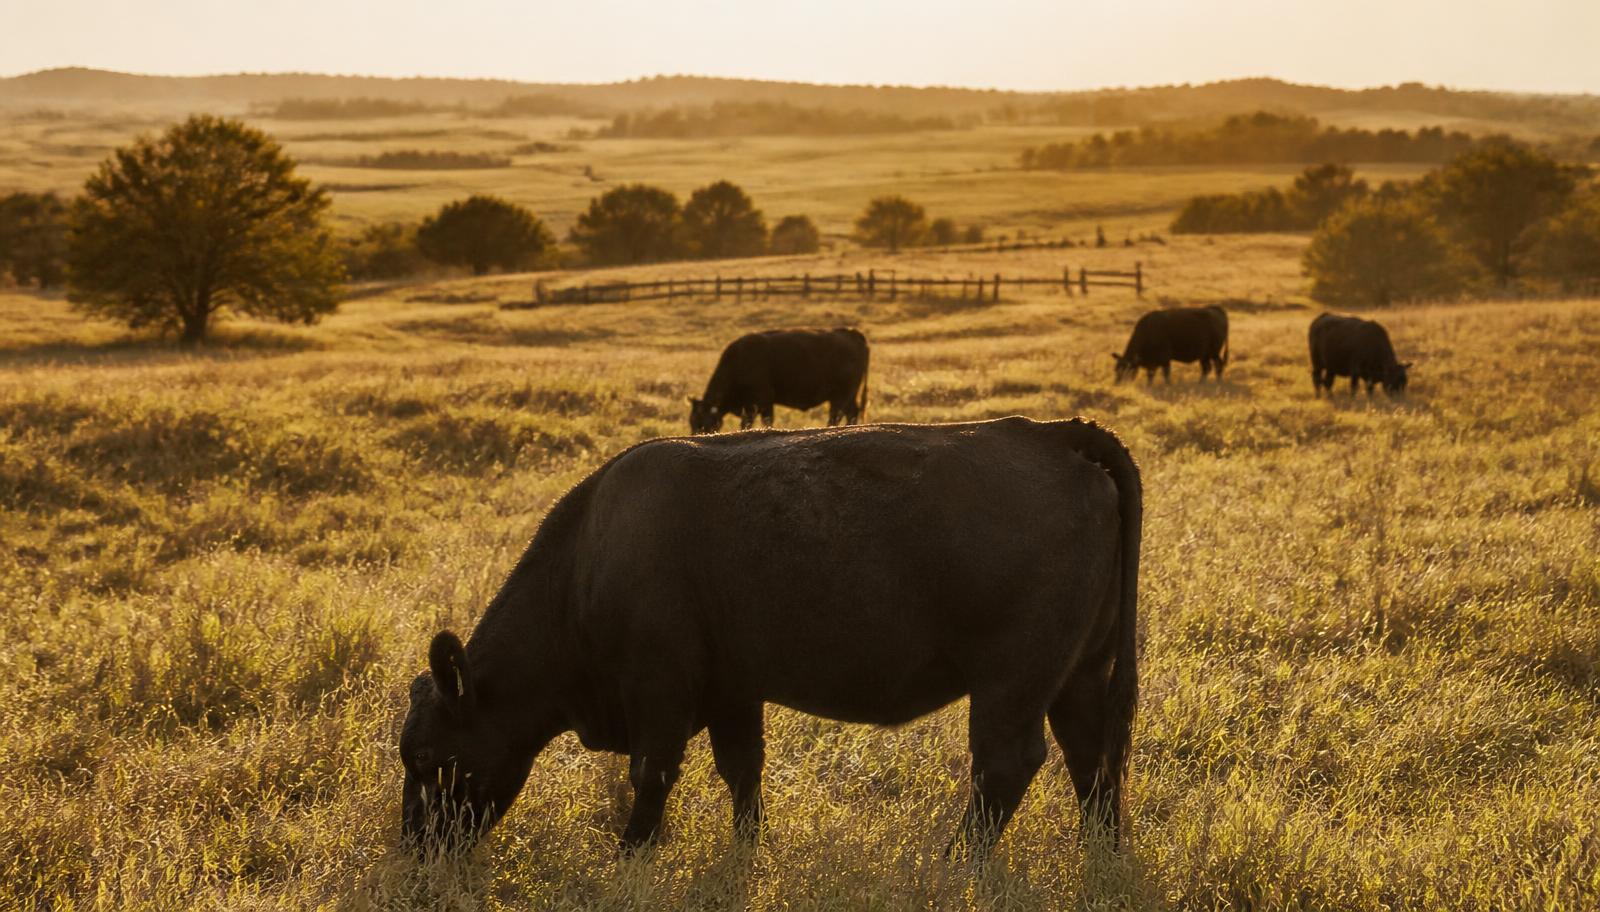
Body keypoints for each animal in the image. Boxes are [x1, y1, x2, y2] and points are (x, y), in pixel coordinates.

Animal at [399, 416, 1141, 864]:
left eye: (429, 756)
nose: (413, 851)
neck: (589, 555)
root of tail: (1056, 435)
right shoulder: (733, 690)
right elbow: (742, 771)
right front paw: (746, 852)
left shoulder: (658, 690)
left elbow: (652, 774)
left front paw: (629, 857)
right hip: (1077, 676)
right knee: (1091, 759)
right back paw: (1101, 857)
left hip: (1009, 685)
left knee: (1006, 766)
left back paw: (955, 864)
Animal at [689, 327, 869, 433]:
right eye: (691, 422)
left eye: (702, 423)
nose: (697, 434)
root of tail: (851, 332)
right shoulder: (756, 405)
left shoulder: (761, 402)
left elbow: (759, 422)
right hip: (848, 396)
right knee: (851, 413)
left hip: (840, 396)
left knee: (835, 416)